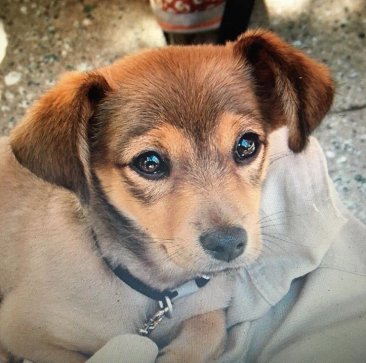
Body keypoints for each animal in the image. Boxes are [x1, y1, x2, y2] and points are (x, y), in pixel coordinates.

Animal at [0, 31, 334, 363]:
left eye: (246, 144)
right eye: (149, 162)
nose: (228, 244)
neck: (158, 292)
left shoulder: (209, 306)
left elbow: (207, 332)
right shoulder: (22, 327)